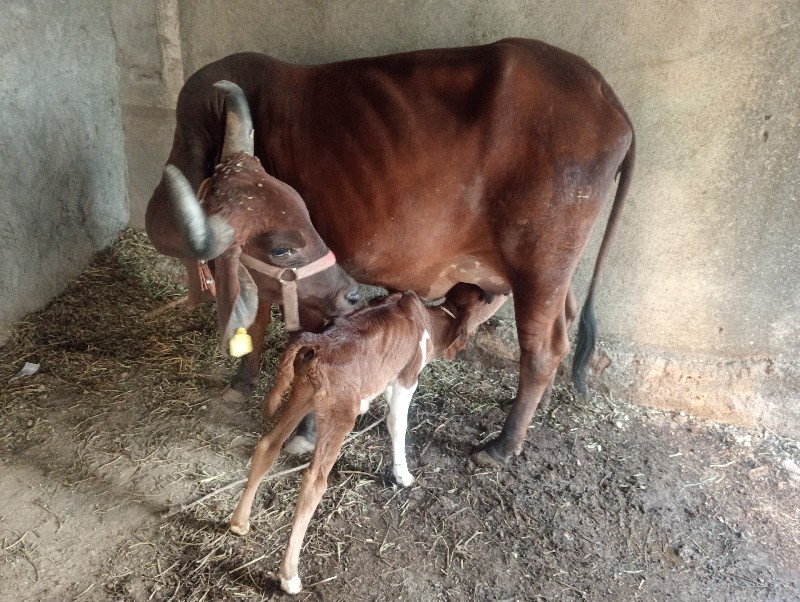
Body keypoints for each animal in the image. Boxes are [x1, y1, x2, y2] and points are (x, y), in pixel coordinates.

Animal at [145, 37, 636, 466]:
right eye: (283, 244)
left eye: (299, 226)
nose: (352, 292)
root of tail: (600, 88)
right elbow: (258, 318)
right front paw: (241, 384)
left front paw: (302, 432)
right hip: (553, 271)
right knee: (565, 323)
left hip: (541, 265)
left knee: (543, 349)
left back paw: (502, 445)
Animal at [228, 282, 490, 592]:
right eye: (484, 298)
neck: (430, 321)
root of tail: (319, 342)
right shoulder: (406, 377)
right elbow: (397, 424)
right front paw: (403, 475)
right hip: (340, 414)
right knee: (314, 480)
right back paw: (289, 575)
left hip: (302, 395)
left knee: (269, 445)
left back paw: (239, 523)